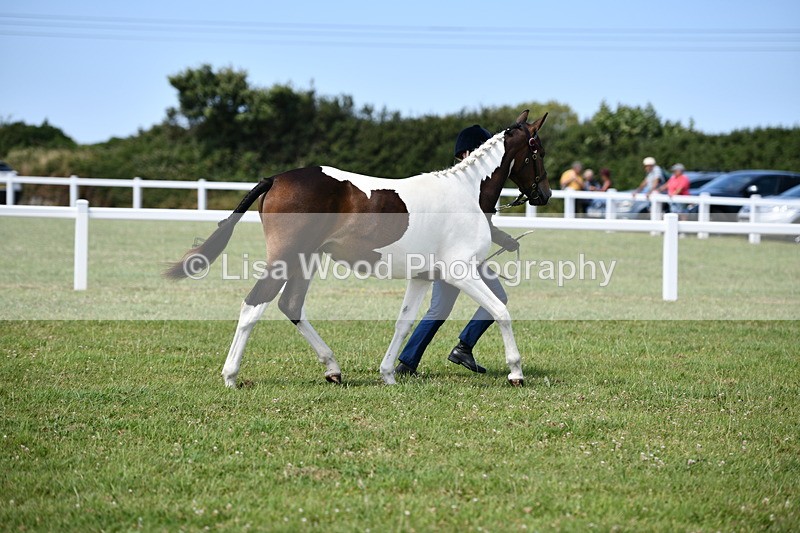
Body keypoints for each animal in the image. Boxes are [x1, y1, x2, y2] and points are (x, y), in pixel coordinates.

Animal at [165, 110, 551, 386]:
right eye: (538, 150)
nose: (544, 194)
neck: (465, 194)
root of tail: (274, 179)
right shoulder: (461, 272)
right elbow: (501, 310)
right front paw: (516, 372)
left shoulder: (422, 276)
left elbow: (404, 323)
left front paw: (389, 374)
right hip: (284, 259)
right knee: (253, 305)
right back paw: (231, 376)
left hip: (305, 261)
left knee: (291, 306)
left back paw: (333, 369)